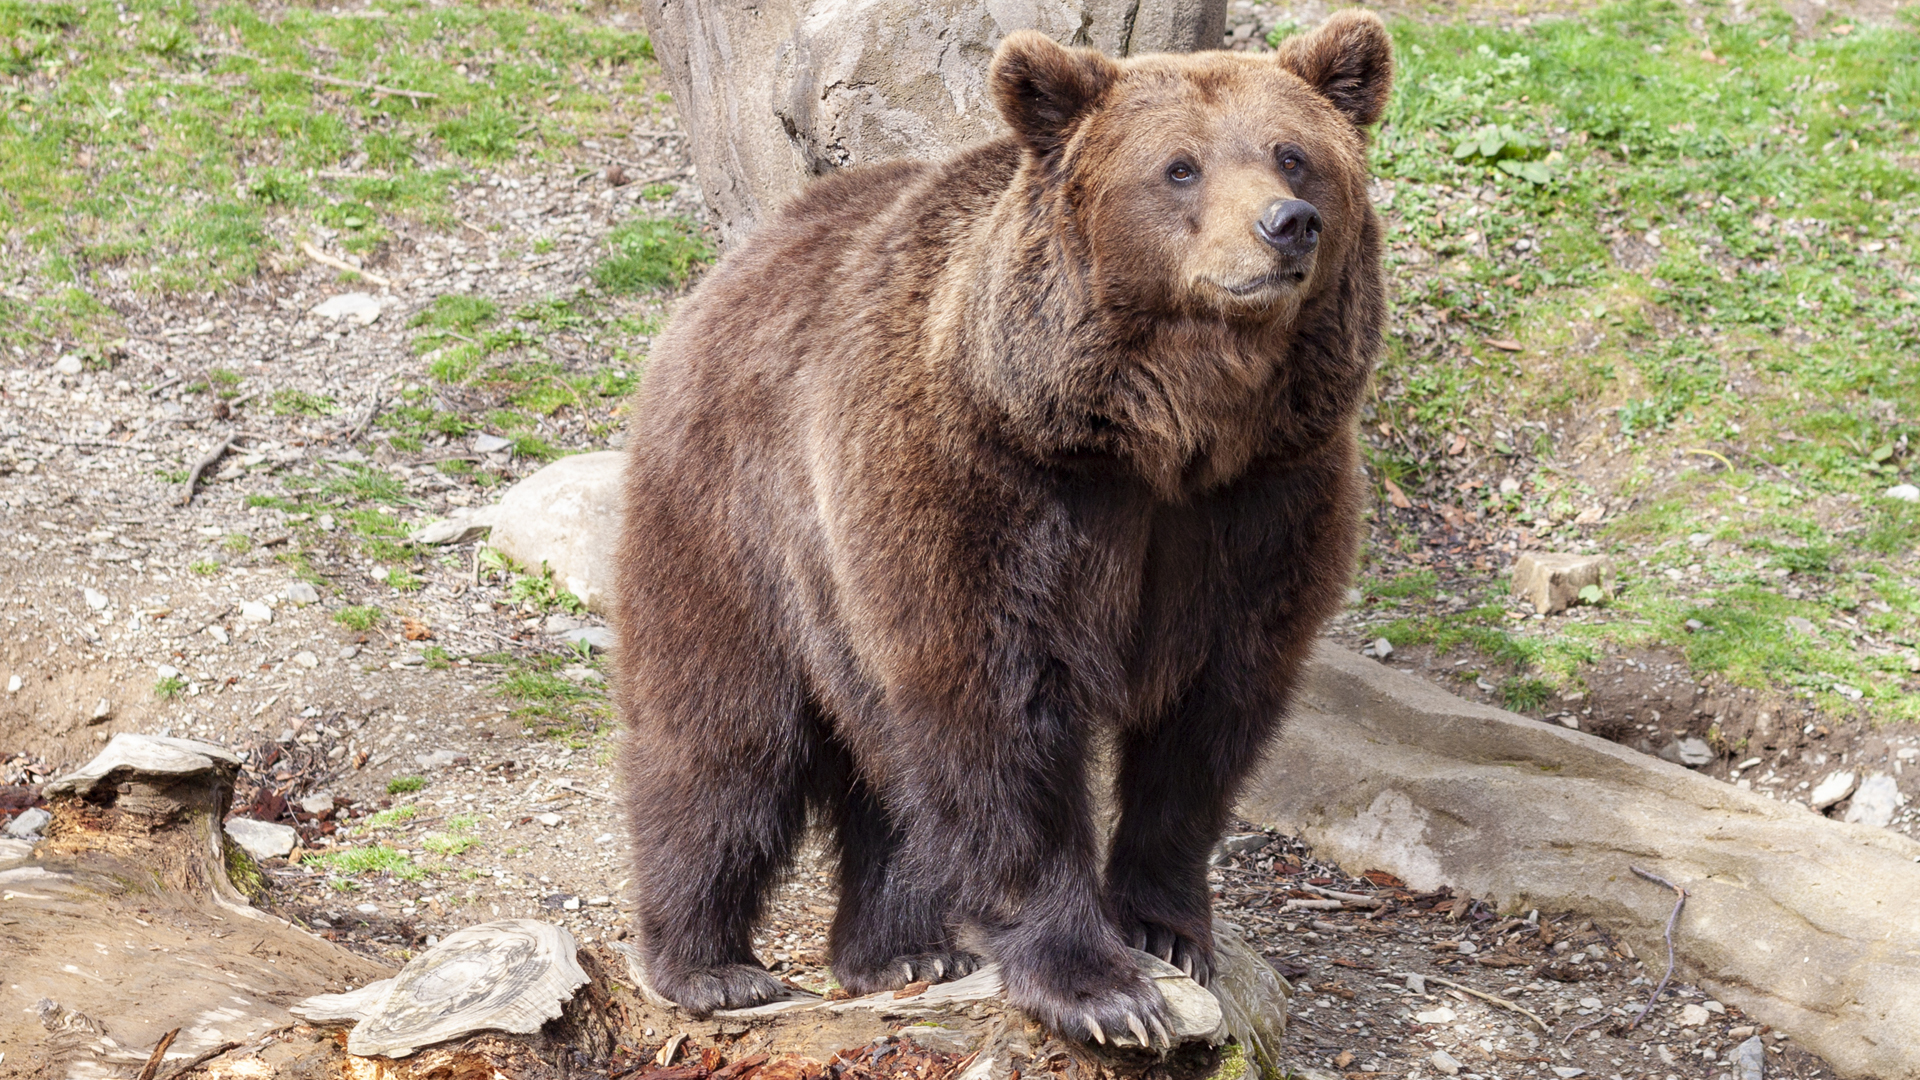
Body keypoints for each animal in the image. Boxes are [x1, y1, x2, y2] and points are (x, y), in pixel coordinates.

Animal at [613, 12, 1392, 1045]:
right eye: (1180, 167)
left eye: (1293, 155)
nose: (1286, 224)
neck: (1158, 434)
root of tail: (737, 263)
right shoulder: (985, 488)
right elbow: (995, 711)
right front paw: (1100, 989)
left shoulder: (1262, 507)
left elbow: (1210, 720)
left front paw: (1169, 930)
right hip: (735, 520)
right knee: (723, 738)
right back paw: (709, 966)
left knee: (885, 774)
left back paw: (902, 950)